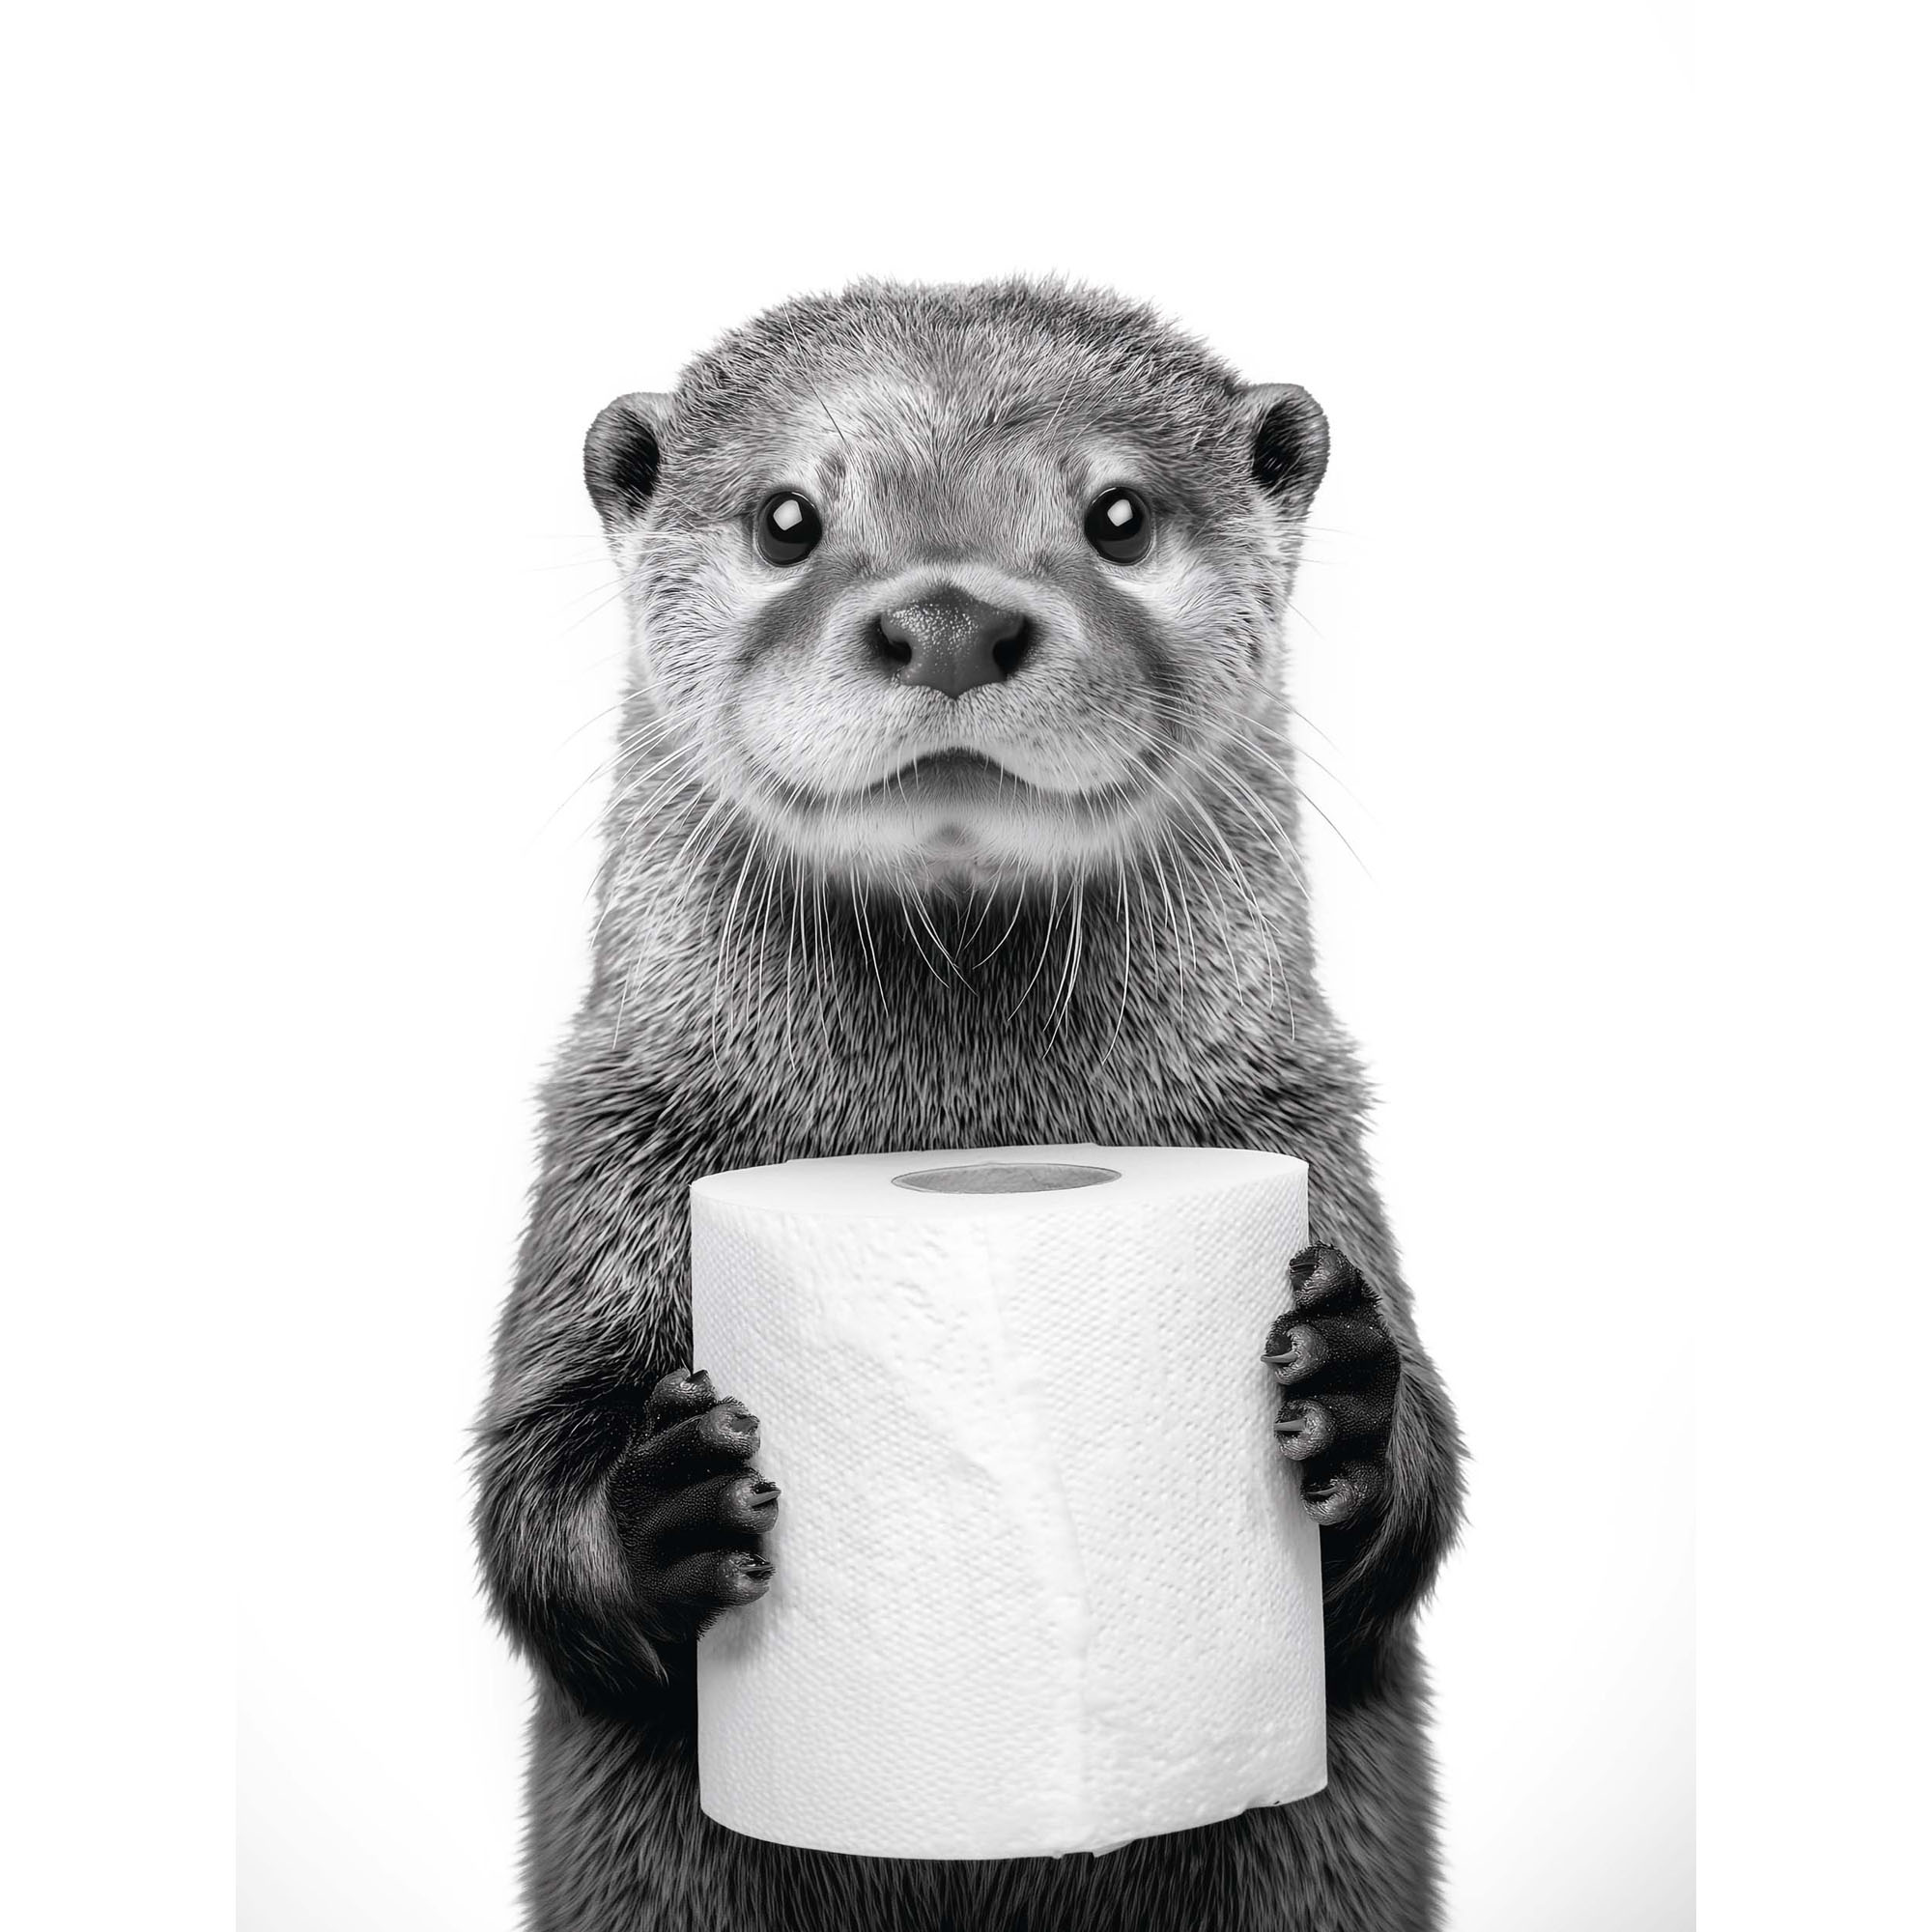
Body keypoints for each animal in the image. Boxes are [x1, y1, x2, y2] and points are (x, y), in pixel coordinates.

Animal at [477, 278, 1464, 1931]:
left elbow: (1418, 1520)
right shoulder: (616, 1147)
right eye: (789, 517)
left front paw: (1348, 1393)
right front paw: (661, 1503)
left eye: (1118, 515)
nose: (947, 615)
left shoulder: (1302, 1123)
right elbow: (518, 1501)